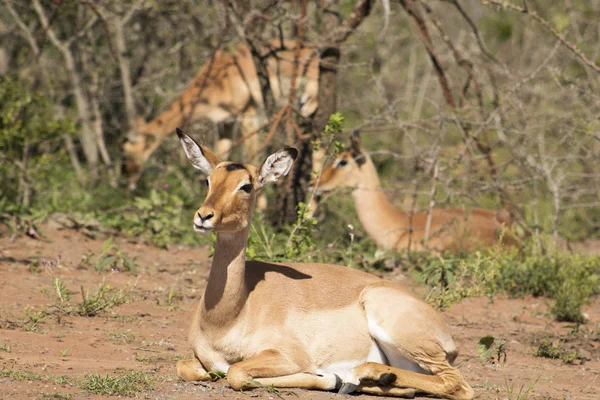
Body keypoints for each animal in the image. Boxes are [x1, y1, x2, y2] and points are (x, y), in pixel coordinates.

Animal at [122, 40, 318, 189]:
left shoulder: (249, 115)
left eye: (127, 151)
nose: (128, 185)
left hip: (308, 105)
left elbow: (254, 158)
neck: (221, 76)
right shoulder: (225, 123)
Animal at [172, 129, 474, 400]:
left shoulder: (289, 357)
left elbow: (236, 372)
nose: (203, 216)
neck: (228, 315)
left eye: (246, 185)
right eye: (209, 180)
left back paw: (355, 375)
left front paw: (329, 377)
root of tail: (444, 332)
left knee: (458, 385)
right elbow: (184, 367)